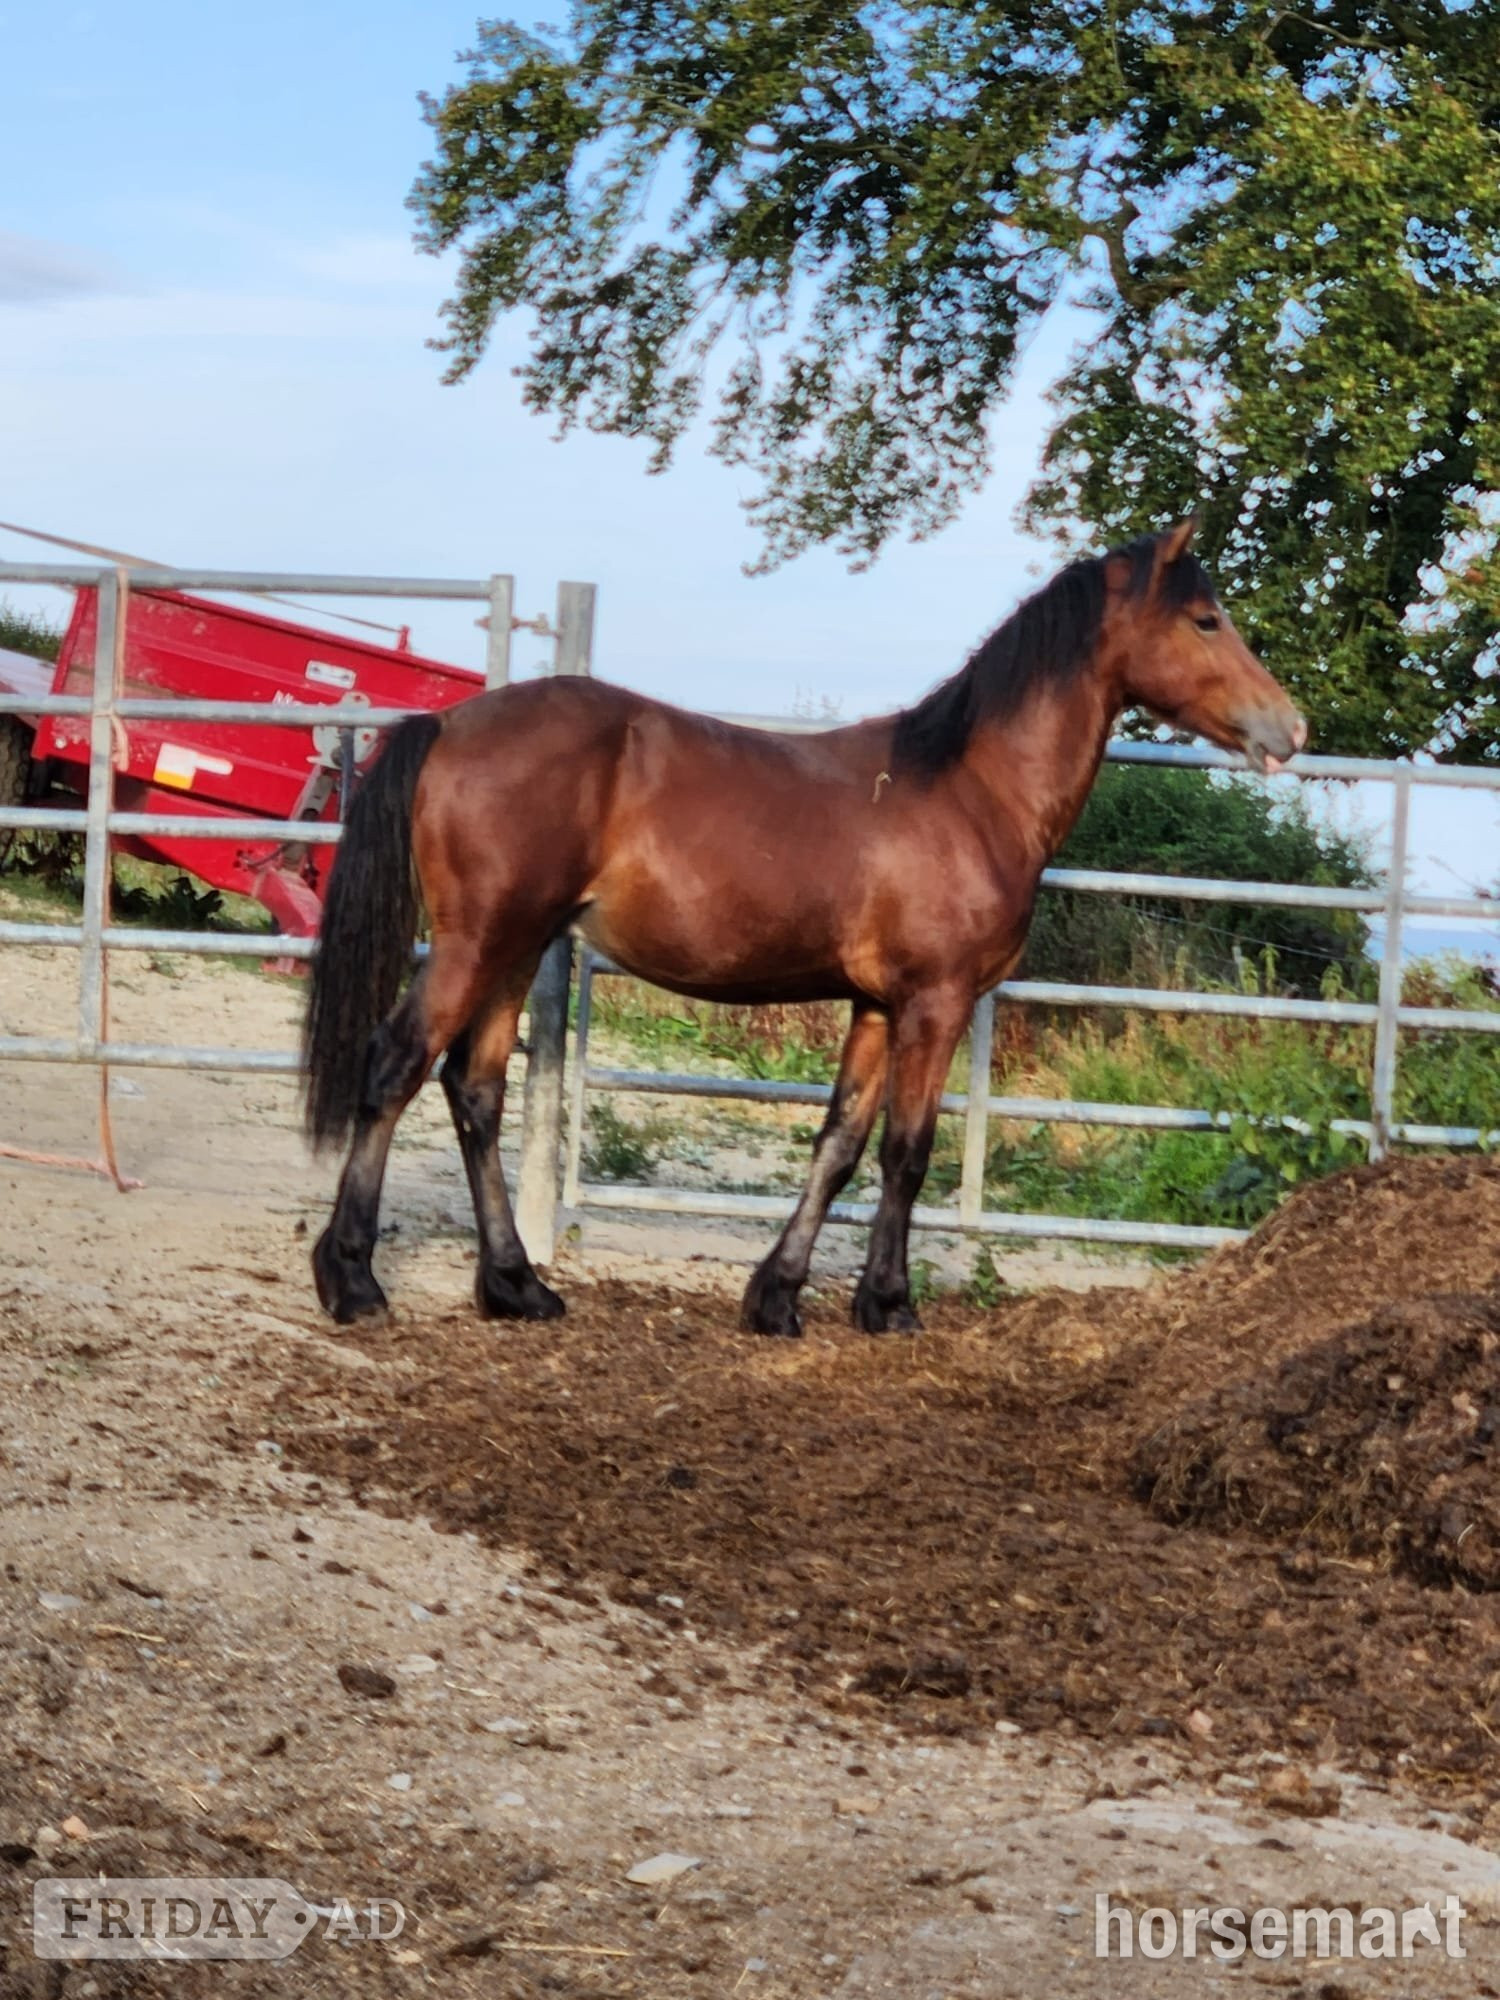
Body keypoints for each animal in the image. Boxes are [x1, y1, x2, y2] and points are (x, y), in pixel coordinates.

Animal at [302, 519, 1305, 1335]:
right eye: (1205, 620)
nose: (1289, 729)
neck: (971, 790)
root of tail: (450, 723)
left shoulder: (875, 1007)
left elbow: (840, 1144)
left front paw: (777, 1297)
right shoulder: (935, 1004)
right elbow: (907, 1152)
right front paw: (888, 1304)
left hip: (517, 947)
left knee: (474, 1091)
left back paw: (516, 1287)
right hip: (476, 943)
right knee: (393, 1068)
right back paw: (354, 1281)